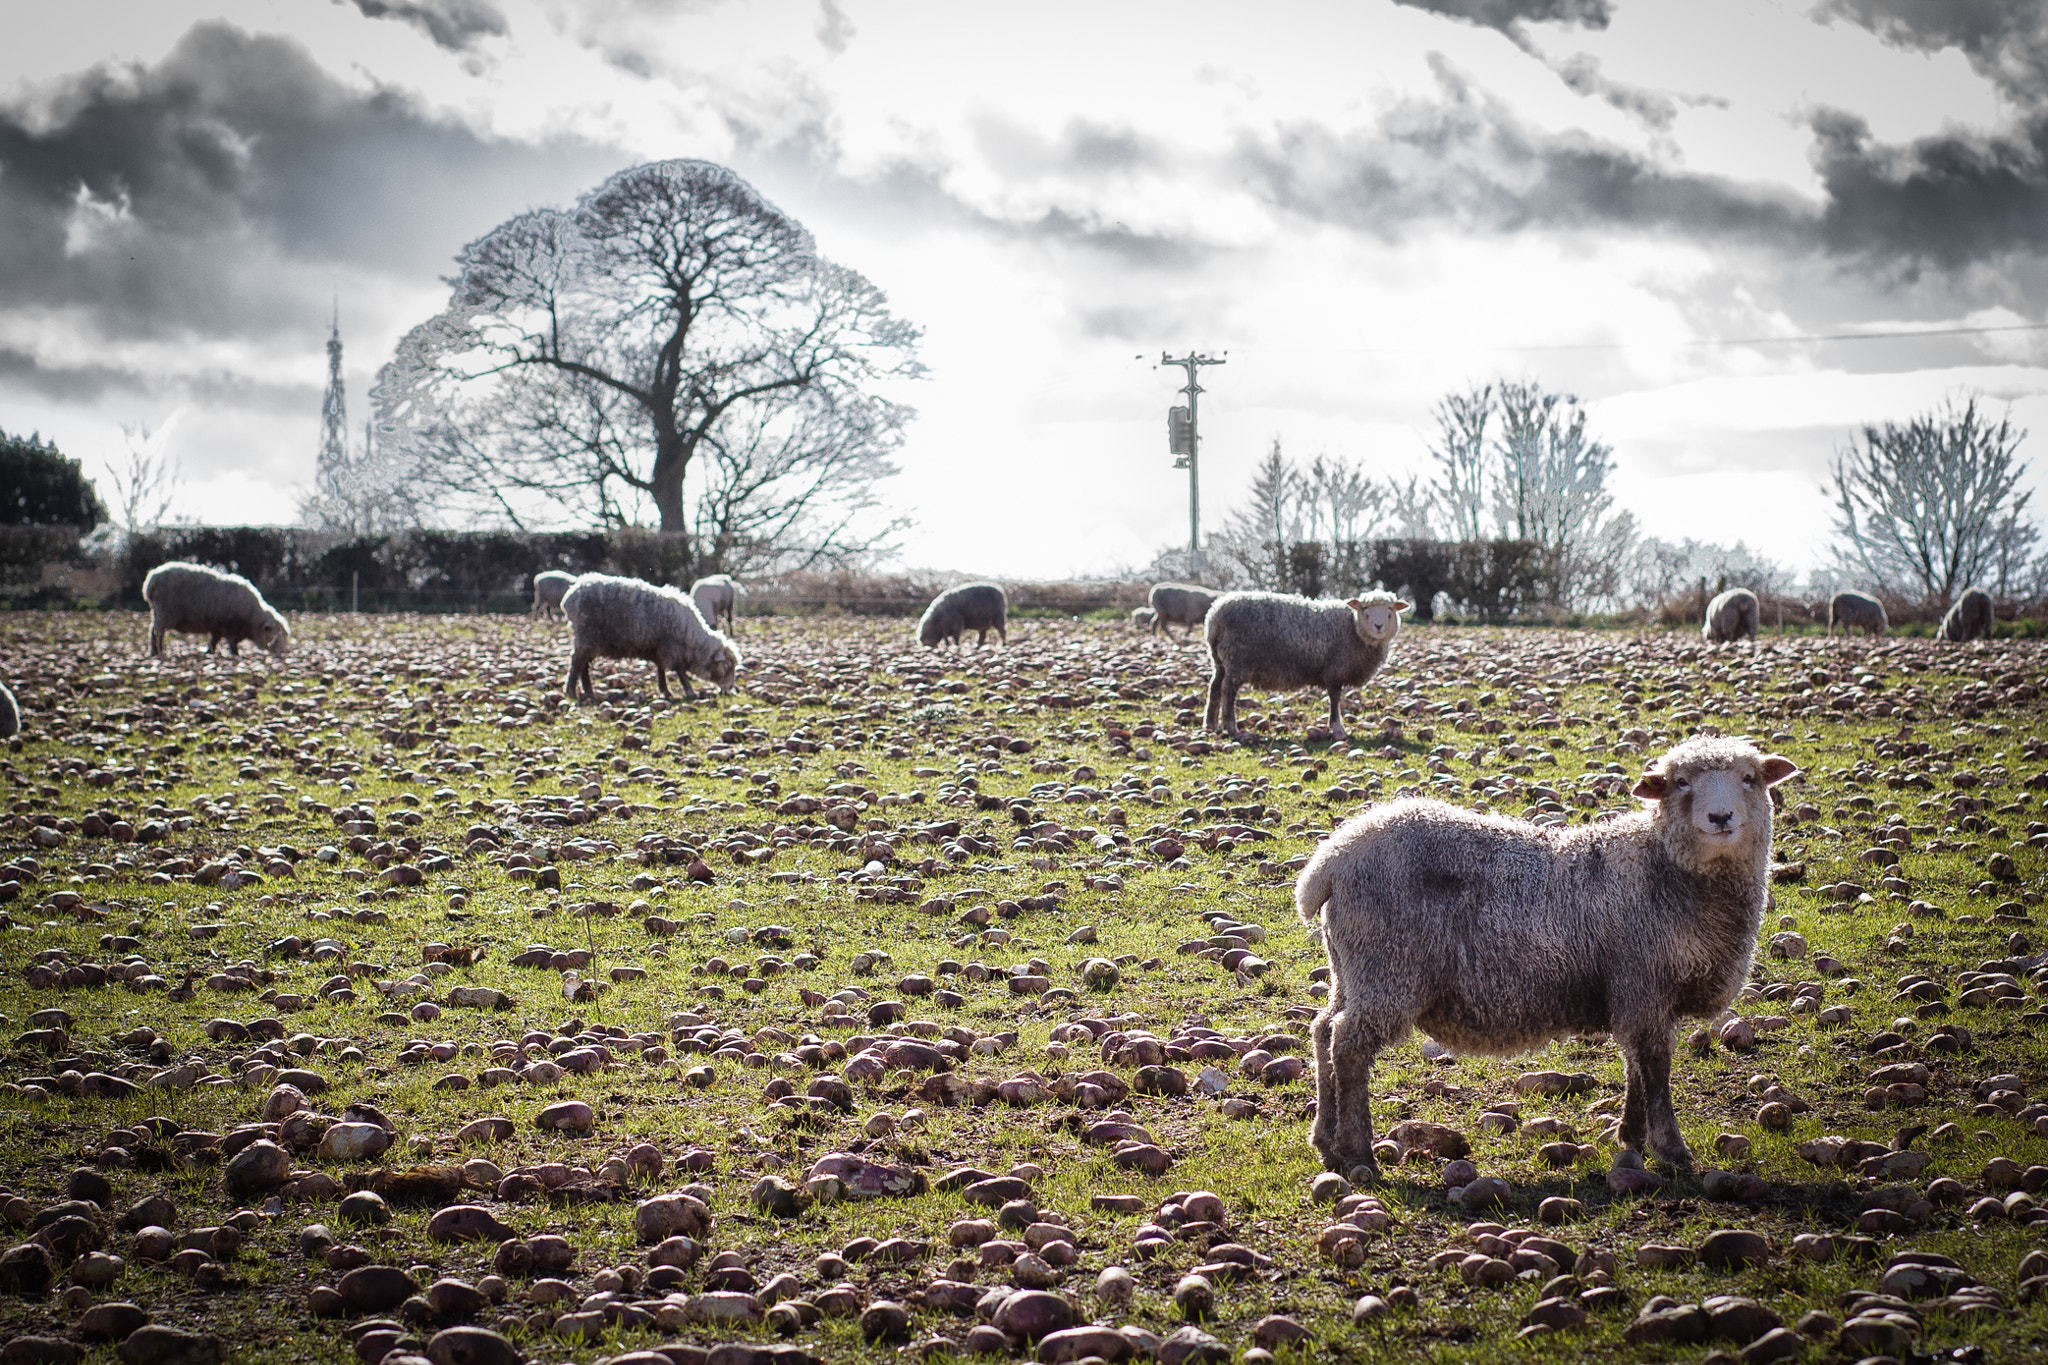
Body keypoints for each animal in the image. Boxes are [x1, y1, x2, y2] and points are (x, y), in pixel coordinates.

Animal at [140, 556, 290, 658]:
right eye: (275, 637)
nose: (280, 655)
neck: (252, 618)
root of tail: (150, 582)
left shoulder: (218, 627)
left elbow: (213, 641)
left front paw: (209, 653)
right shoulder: (232, 628)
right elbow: (232, 645)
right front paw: (235, 655)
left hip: (159, 612)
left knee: (155, 631)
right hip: (165, 612)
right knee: (156, 632)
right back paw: (157, 652)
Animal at [561, 573, 745, 703]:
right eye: (727, 666)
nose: (730, 687)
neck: (691, 638)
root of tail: (570, 596)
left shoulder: (657, 649)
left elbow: (661, 669)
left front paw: (665, 691)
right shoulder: (672, 648)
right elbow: (680, 671)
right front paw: (689, 691)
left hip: (589, 640)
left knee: (583, 665)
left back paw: (589, 692)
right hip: (586, 636)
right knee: (576, 662)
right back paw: (571, 691)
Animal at [1196, 589, 1409, 736]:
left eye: (1390, 609)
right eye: (1365, 609)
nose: (1378, 626)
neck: (1353, 628)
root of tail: (1214, 616)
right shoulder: (1335, 670)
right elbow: (1335, 700)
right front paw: (1337, 728)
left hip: (1220, 659)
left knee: (1214, 686)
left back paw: (1210, 725)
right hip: (1238, 658)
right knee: (1228, 690)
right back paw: (1231, 727)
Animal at [1294, 736, 1794, 1186]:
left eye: (1749, 779)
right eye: (1681, 782)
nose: (1721, 817)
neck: (1663, 868)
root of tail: (1331, 860)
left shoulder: (1636, 994)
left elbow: (1636, 1065)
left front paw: (1630, 1138)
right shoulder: (1643, 982)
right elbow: (1654, 1069)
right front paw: (1671, 1148)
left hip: (1352, 968)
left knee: (1323, 1030)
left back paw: (1327, 1144)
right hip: (1389, 968)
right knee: (1349, 1044)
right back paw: (1359, 1155)